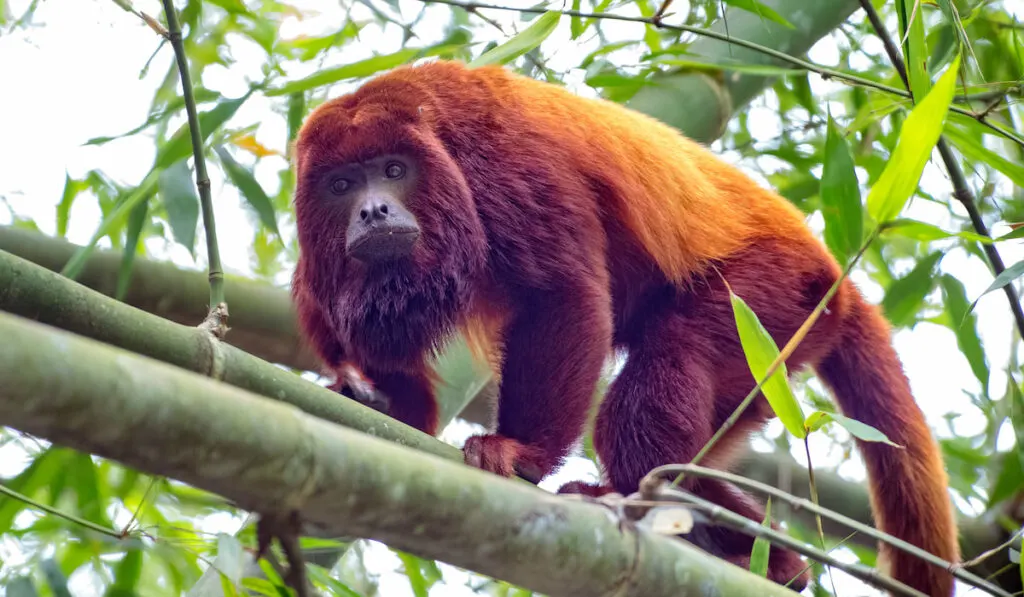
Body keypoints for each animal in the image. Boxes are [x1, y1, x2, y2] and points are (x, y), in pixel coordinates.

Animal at [290, 59, 958, 593]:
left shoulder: (500, 158)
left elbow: (560, 293)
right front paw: (373, 401)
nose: (374, 210)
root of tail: (837, 274)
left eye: (393, 170)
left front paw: (519, 450)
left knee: (669, 367)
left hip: (775, 299)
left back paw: (727, 541)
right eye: (342, 184)